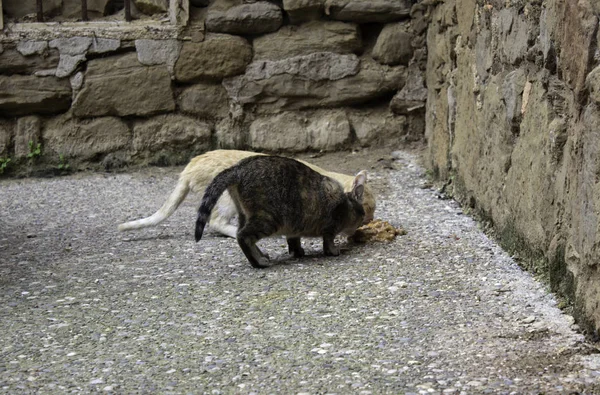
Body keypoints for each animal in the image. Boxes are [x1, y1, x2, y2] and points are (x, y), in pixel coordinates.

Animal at [117, 149, 376, 237]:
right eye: (369, 210)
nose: (370, 220)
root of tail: (191, 164)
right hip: (228, 198)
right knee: (215, 222)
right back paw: (235, 231)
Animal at [195, 155, 368, 270]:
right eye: (363, 216)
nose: (361, 225)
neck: (345, 205)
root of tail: (238, 168)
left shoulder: (295, 225)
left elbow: (294, 239)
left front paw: (297, 251)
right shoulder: (330, 226)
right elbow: (328, 241)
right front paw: (332, 251)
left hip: (246, 215)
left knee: (242, 233)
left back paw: (261, 255)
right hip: (269, 219)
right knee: (243, 236)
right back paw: (258, 262)